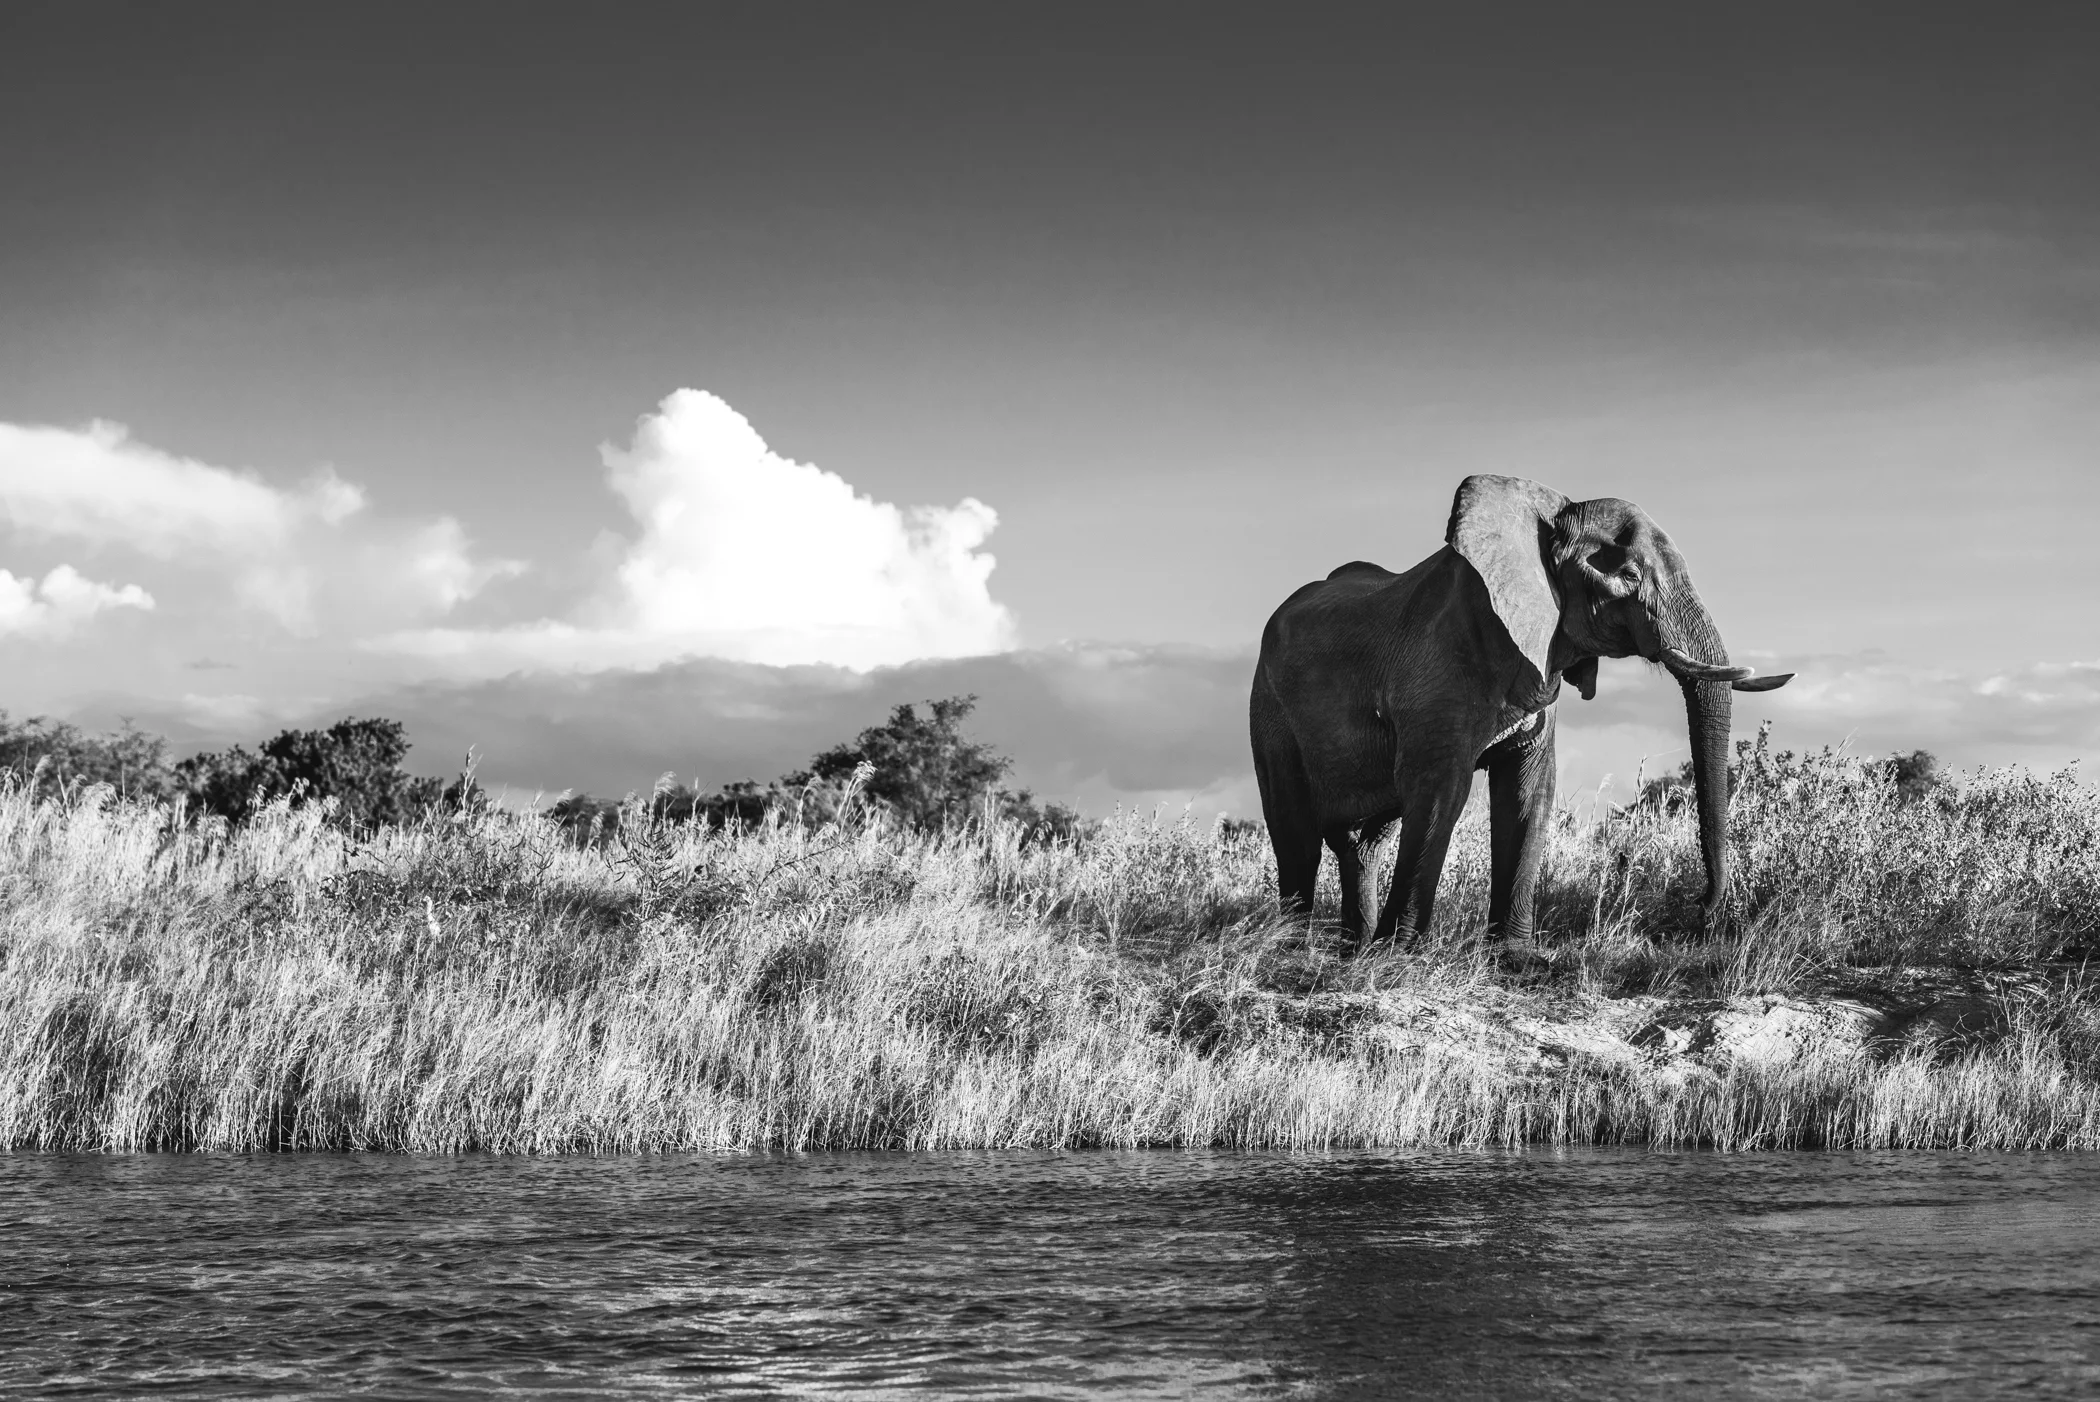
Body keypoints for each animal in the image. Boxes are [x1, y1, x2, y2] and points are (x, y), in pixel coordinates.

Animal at [1249, 474, 1791, 947]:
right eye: (1628, 576)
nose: (1700, 904)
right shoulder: (1437, 671)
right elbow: (1441, 790)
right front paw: (1398, 954)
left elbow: (1529, 789)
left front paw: (1513, 956)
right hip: (1269, 711)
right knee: (1296, 835)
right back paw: (1292, 946)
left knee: (1365, 843)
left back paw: (1353, 948)